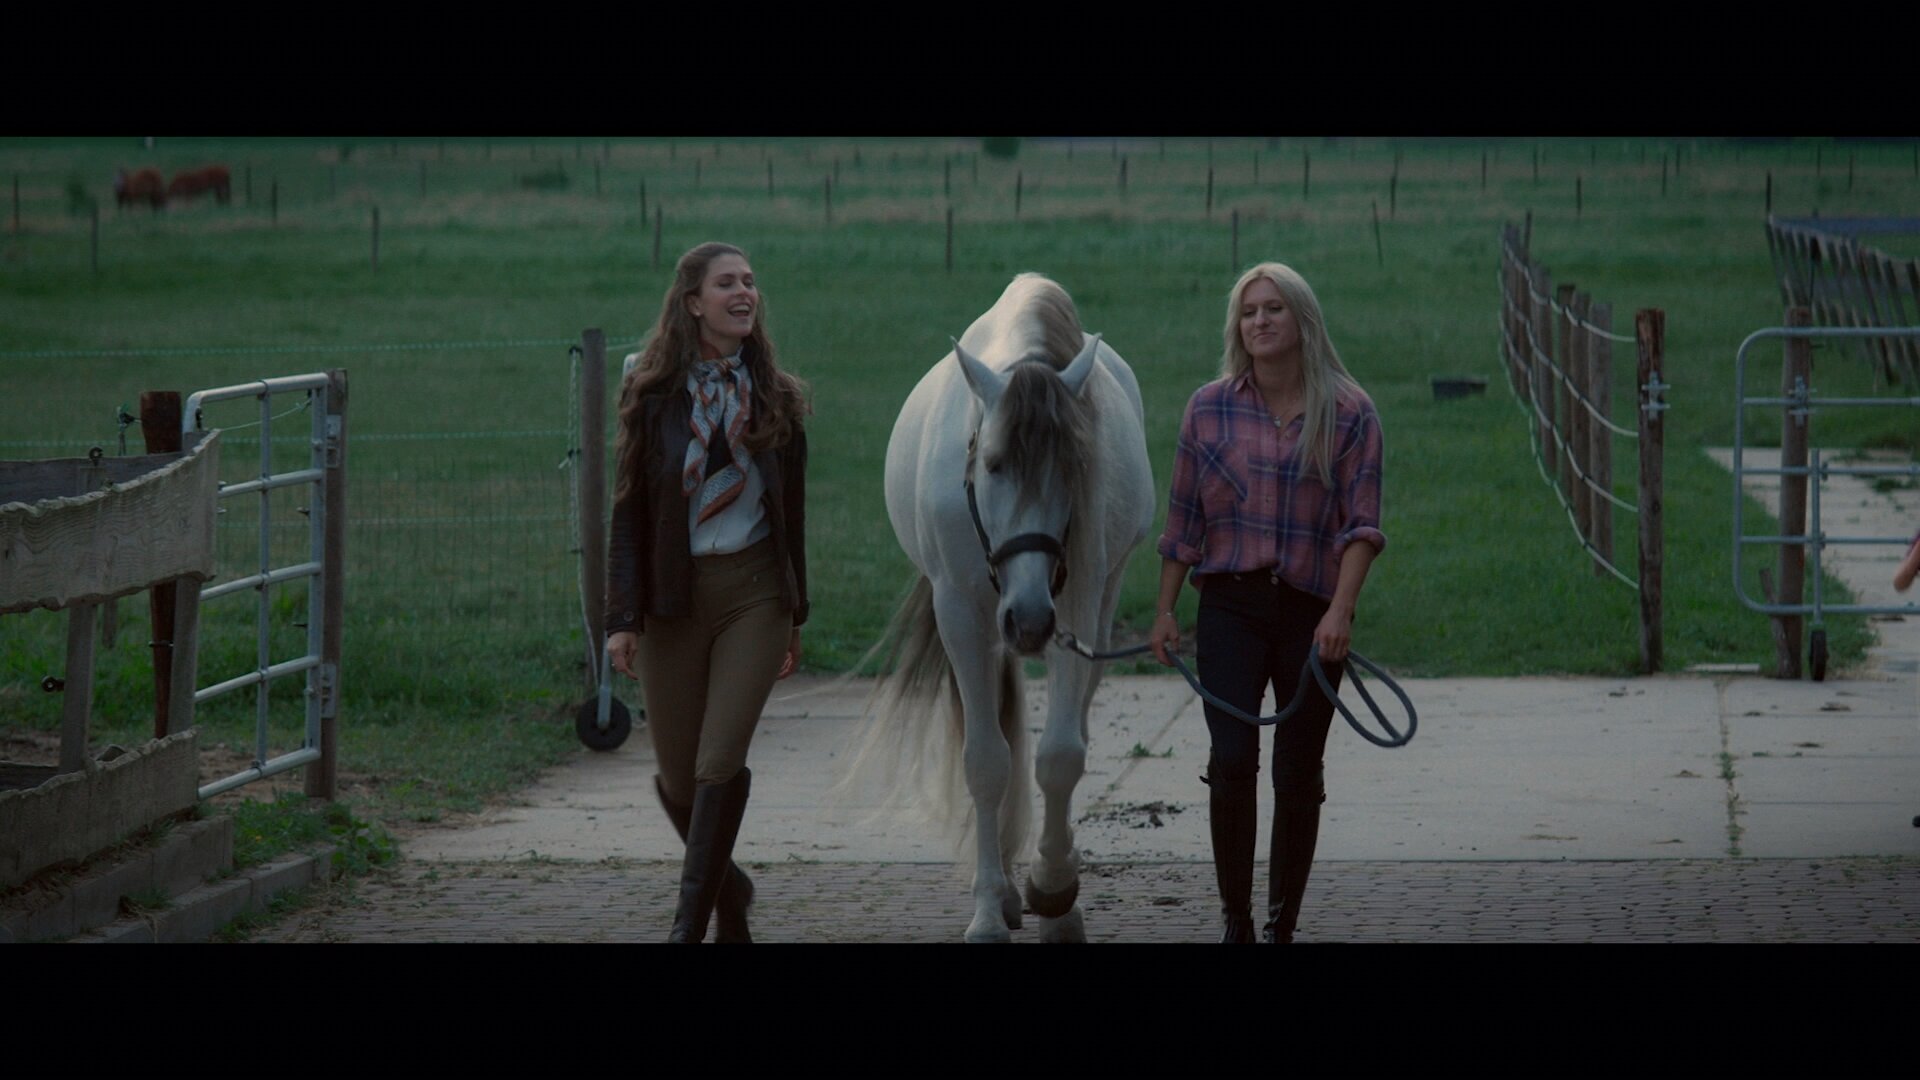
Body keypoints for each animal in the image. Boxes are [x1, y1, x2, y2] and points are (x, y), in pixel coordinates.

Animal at [844, 273, 1155, 942]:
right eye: (992, 464)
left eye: (1076, 467)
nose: (1031, 621)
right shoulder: (961, 614)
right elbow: (986, 762)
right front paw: (989, 908)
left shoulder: (1078, 606)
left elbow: (1061, 754)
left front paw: (1055, 889)